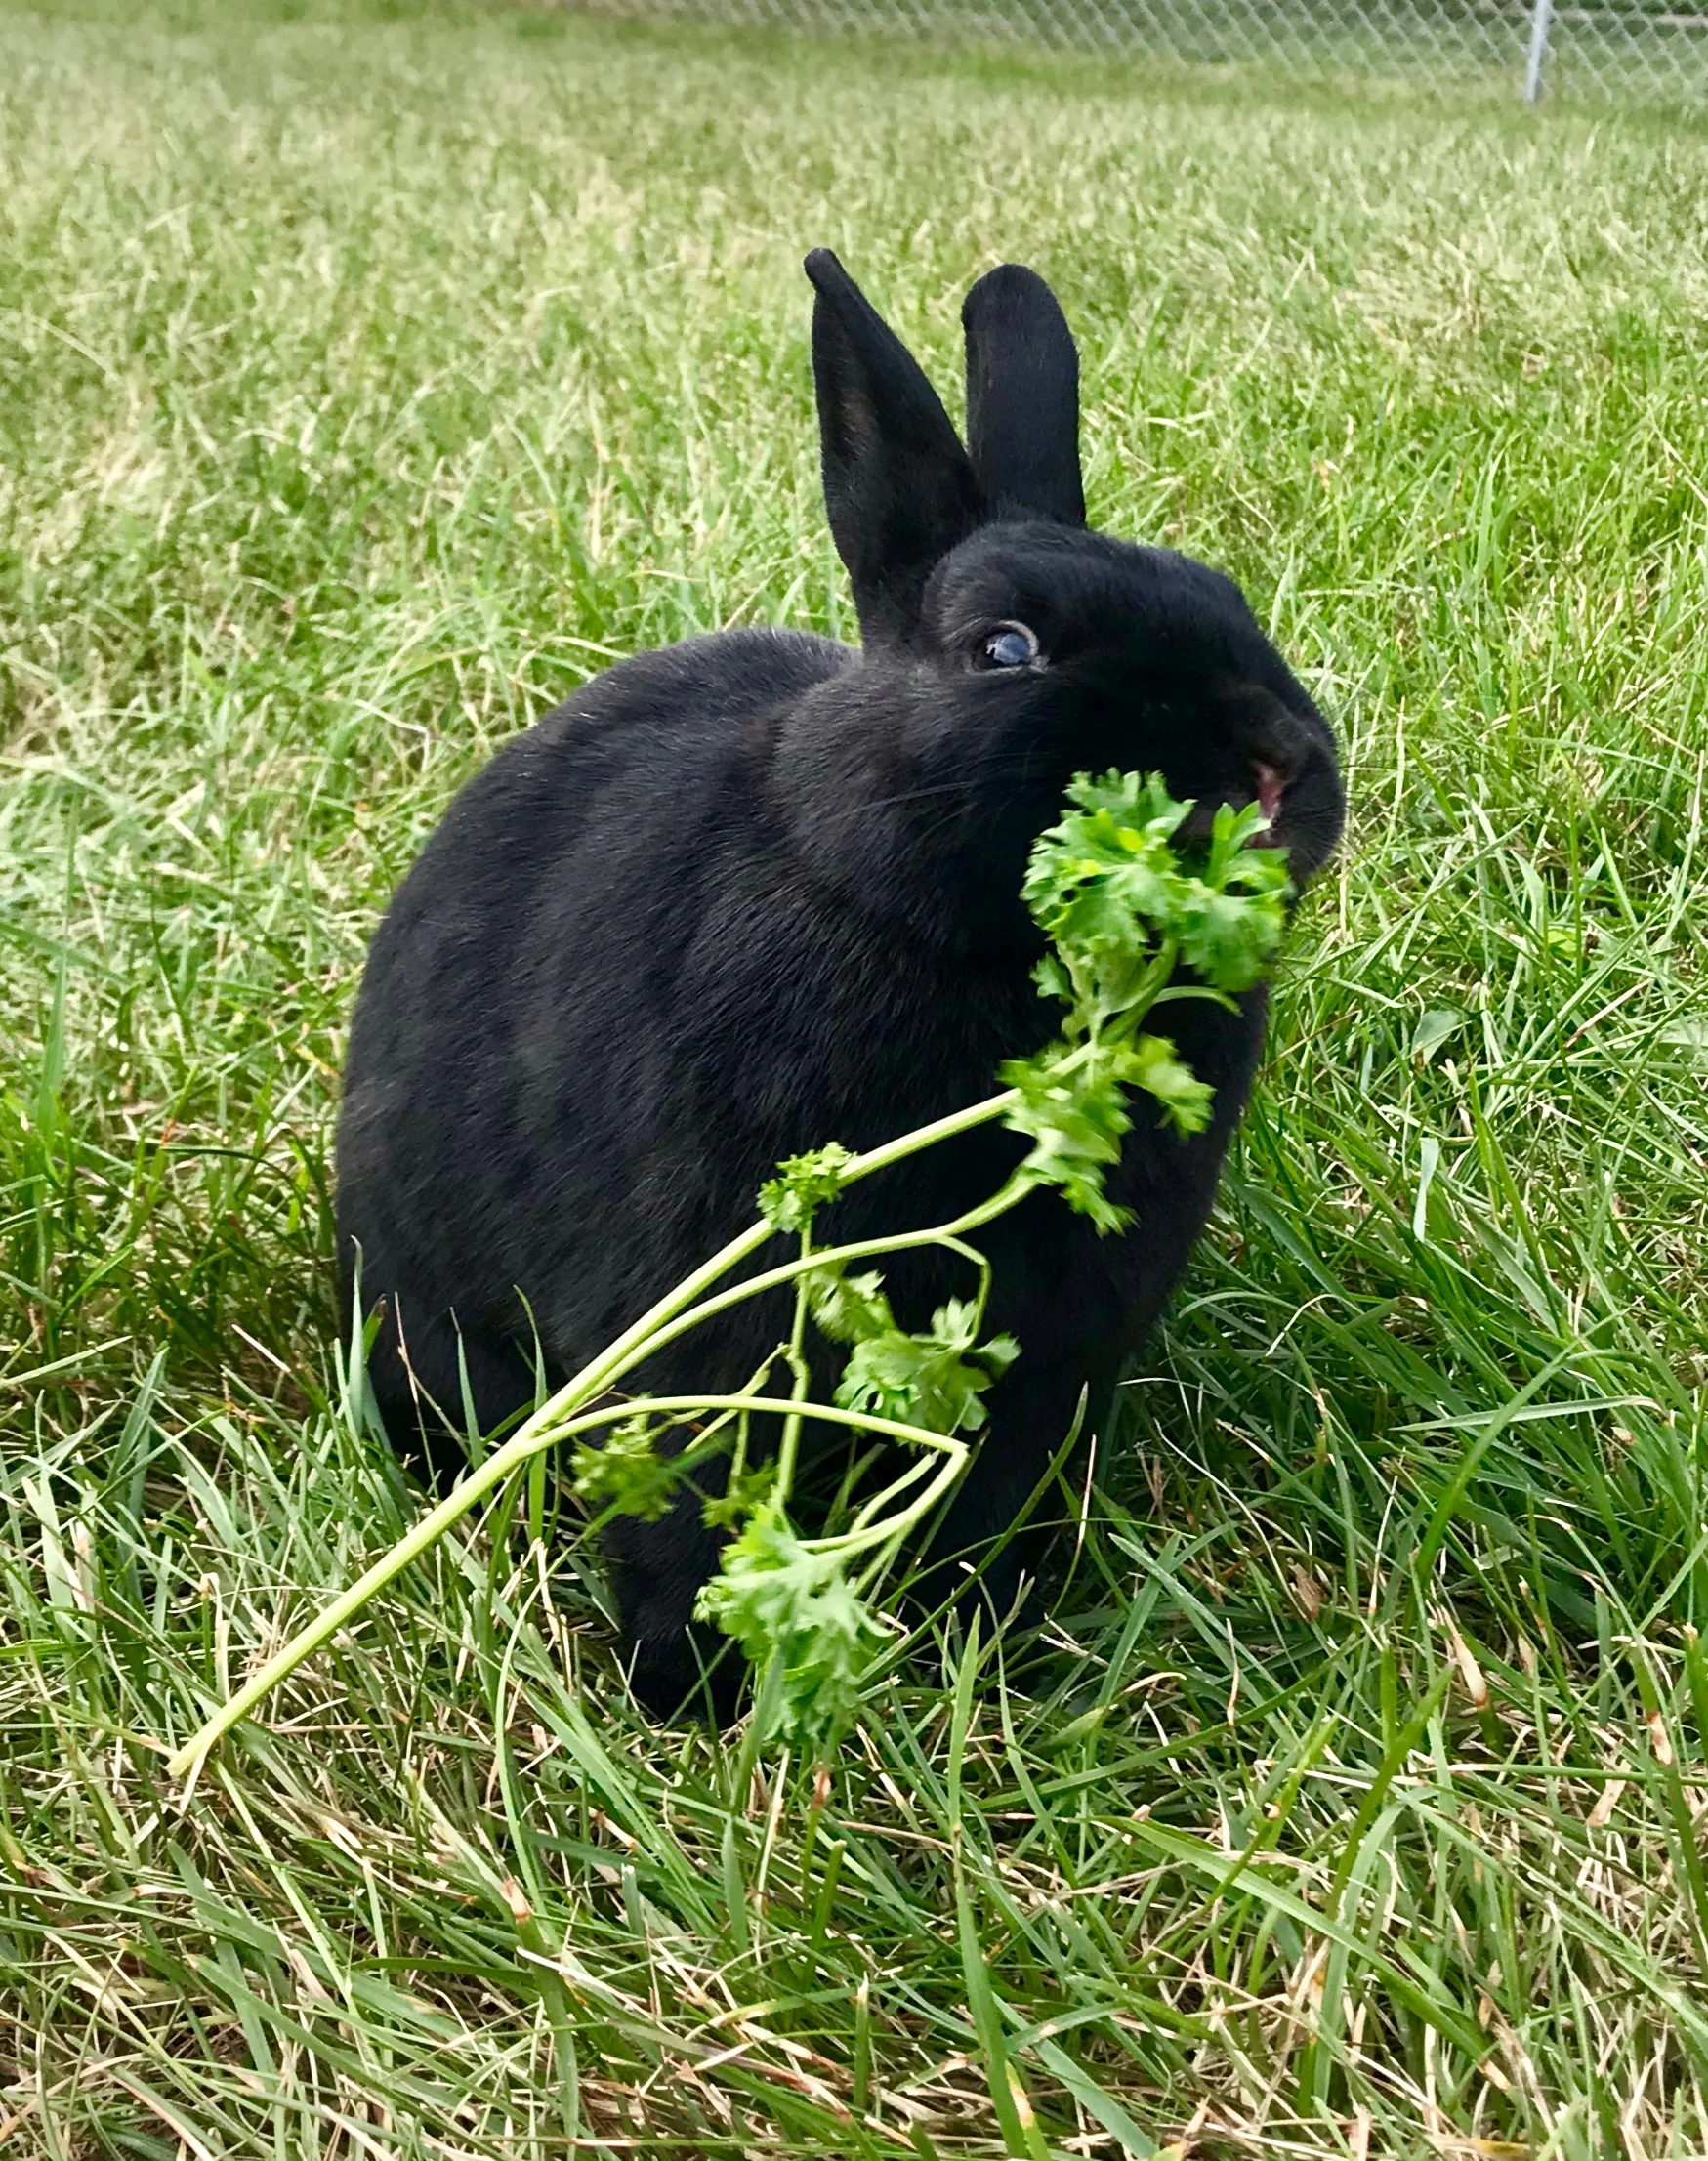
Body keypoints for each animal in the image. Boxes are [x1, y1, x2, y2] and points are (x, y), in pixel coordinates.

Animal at [336, 249, 1345, 1722]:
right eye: (1003, 650)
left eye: (1230, 599)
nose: (1276, 769)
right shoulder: (693, 1320)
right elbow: (686, 1493)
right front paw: (689, 1694)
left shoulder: (1050, 1355)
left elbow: (992, 1490)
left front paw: (989, 1643)